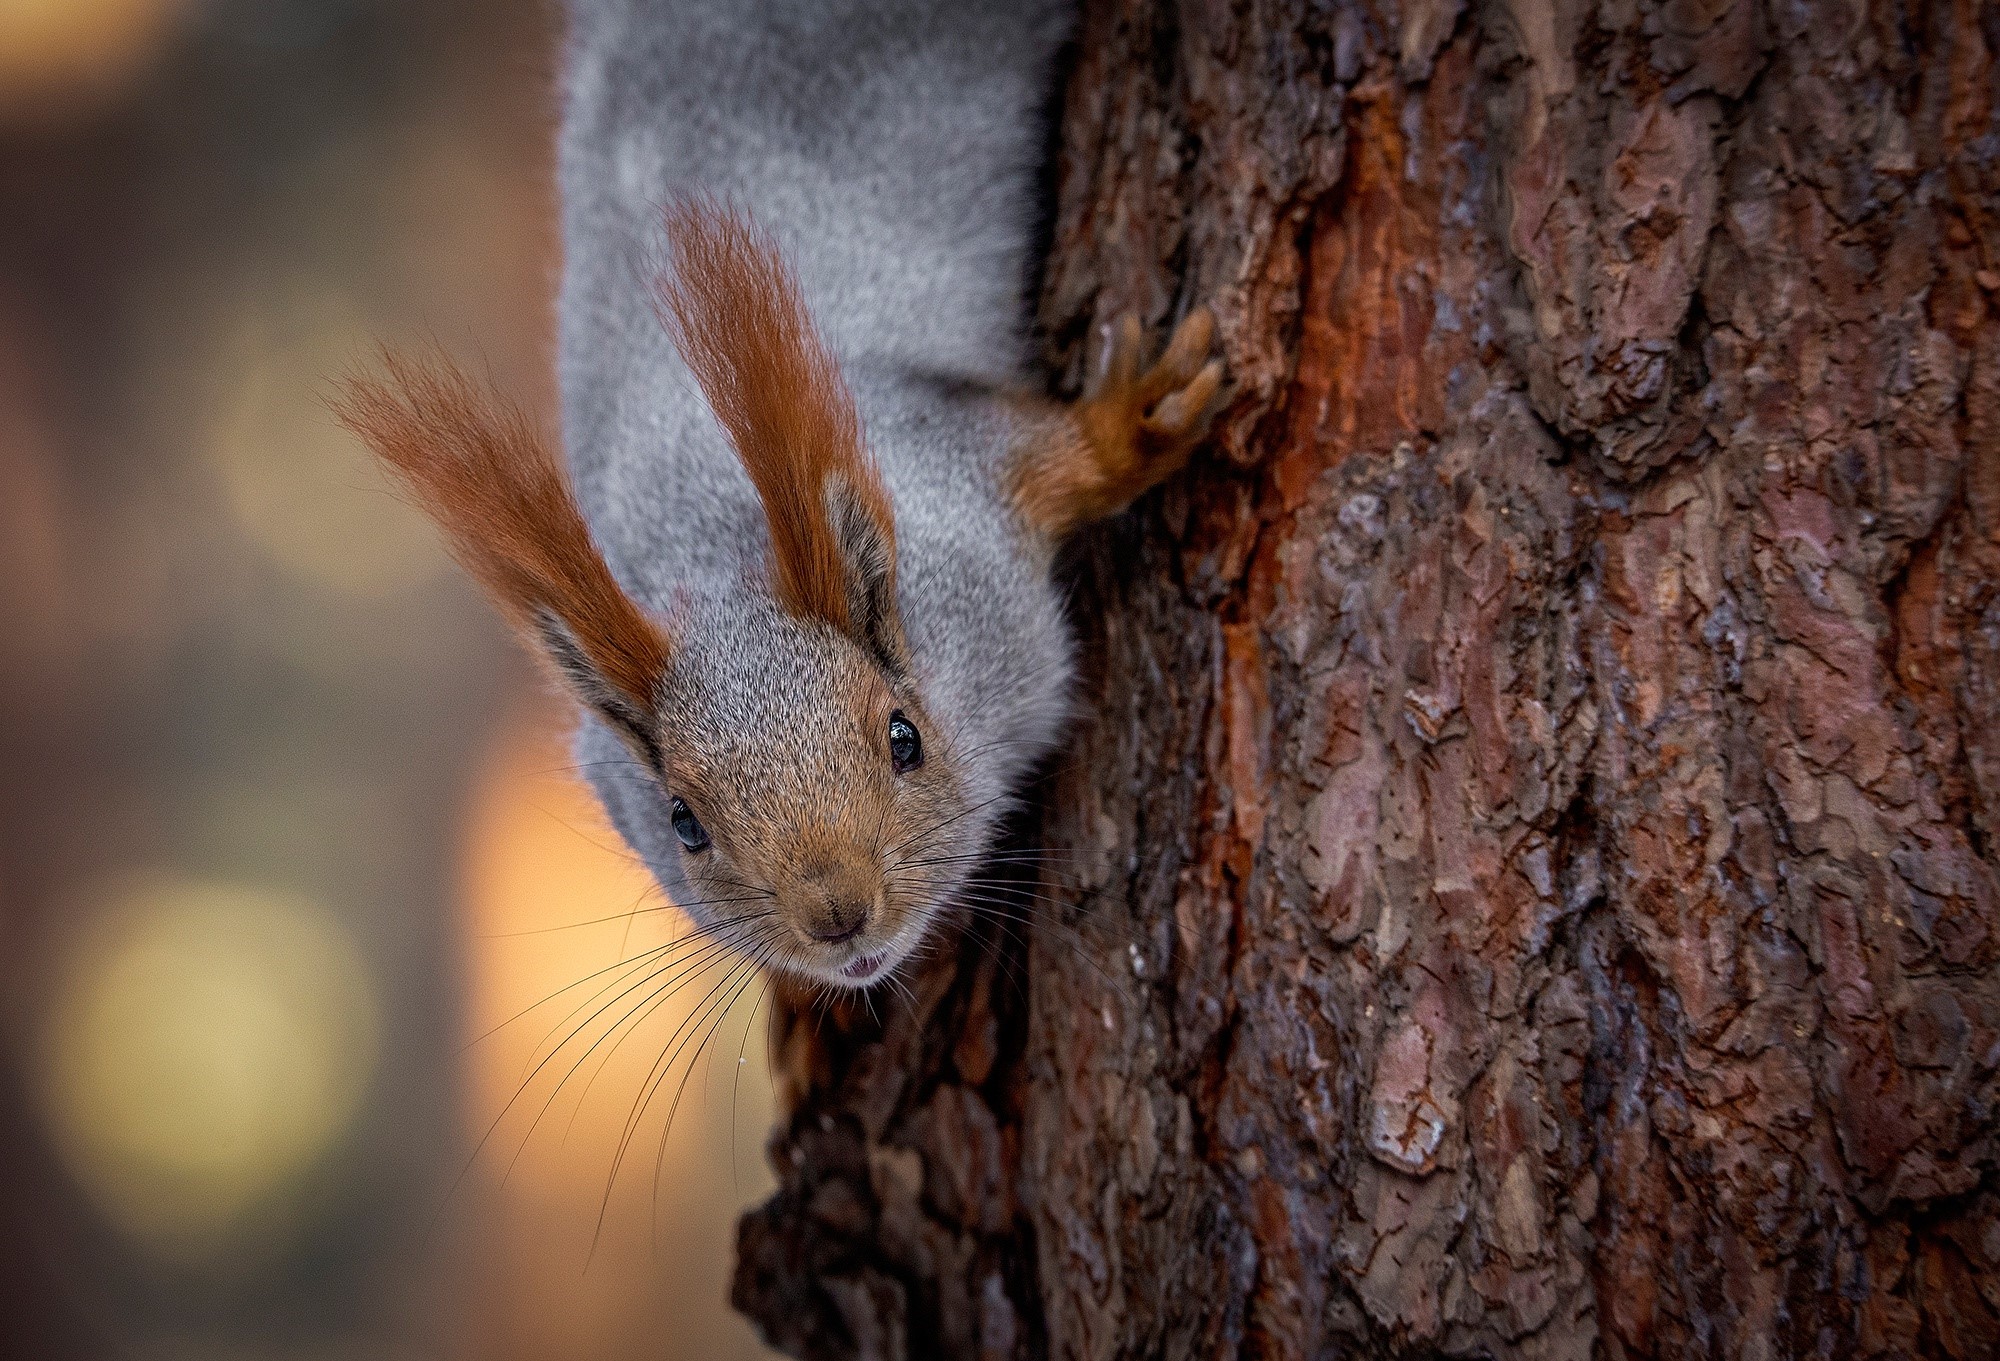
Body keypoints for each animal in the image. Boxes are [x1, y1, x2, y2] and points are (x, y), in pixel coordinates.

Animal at [336, 0, 1222, 992]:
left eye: (904, 737)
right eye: (683, 822)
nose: (836, 916)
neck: (714, 550)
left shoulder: (947, 476)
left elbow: (1049, 453)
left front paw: (1133, 421)